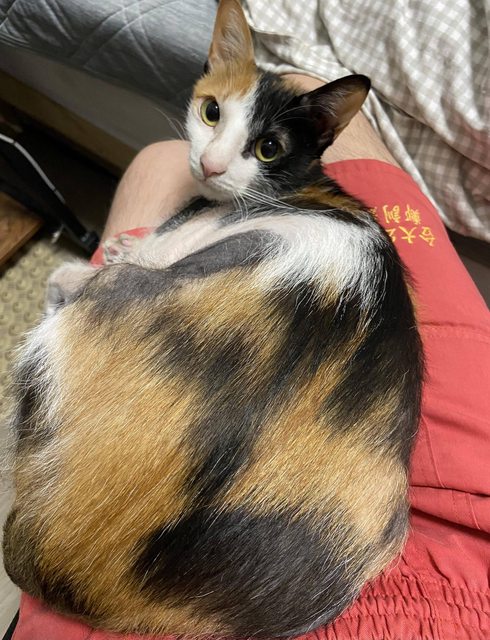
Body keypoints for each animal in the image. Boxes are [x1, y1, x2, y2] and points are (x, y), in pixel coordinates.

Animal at [3, 0, 423, 637]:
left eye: (268, 146)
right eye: (211, 112)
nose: (210, 164)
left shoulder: (176, 243)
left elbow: (117, 256)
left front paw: (116, 246)